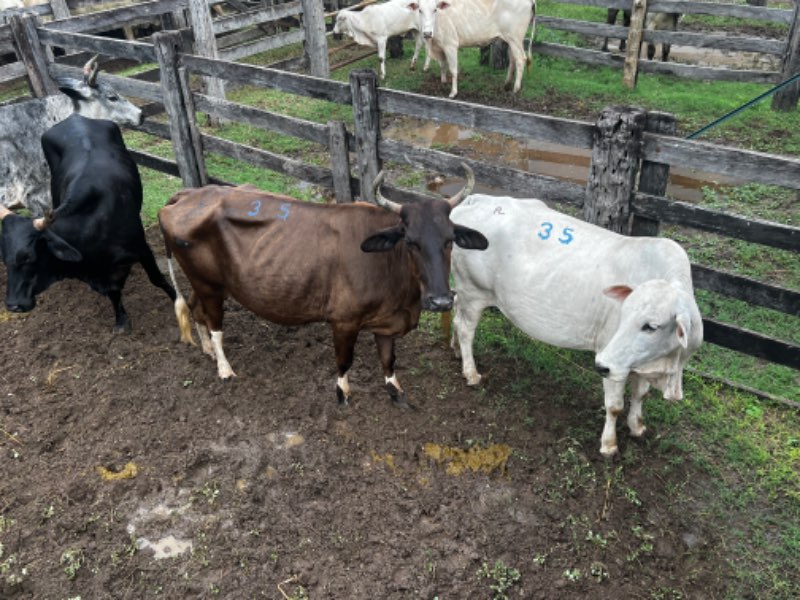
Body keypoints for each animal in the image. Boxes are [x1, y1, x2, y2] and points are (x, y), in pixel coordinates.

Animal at [0, 113, 176, 331]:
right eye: (4, 259)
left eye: (29, 257)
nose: (13, 305)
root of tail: (74, 117)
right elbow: (113, 291)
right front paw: (121, 319)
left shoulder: (142, 248)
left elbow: (157, 279)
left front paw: (180, 303)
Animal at [158, 166, 489, 406]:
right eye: (410, 241)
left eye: (450, 240)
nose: (441, 301)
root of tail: (189, 194)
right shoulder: (343, 320)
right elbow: (344, 360)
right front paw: (343, 393)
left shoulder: (387, 321)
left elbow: (388, 359)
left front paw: (396, 391)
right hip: (208, 284)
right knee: (215, 325)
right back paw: (224, 368)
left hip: (207, 283)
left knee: (195, 310)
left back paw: (207, 351)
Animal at [449, 195, 703, 457]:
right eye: (623, 314)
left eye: (651, 326)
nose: (600, 365)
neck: (667, 366)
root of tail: (476, 199)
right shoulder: (611, 358)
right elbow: (614, 406)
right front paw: (609, 445)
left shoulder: (640, 363)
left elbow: (640, 395)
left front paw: (637, 427)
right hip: (473, 291)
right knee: (466, 328)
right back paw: (470, 371)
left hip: (466, 292)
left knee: (456, 311)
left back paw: (455, 349)